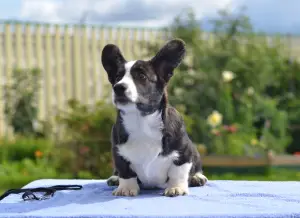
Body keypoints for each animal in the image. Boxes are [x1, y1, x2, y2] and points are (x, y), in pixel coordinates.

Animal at [102, 38, 207, 197]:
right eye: (117, 78)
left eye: (142, 77)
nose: (118, 87)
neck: (141, 121)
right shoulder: (118, 153)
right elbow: (125, 172)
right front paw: (126, 188)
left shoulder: (184, 152)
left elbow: (178, 172)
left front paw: (176, 187)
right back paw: (115, 178)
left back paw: (197, 177)